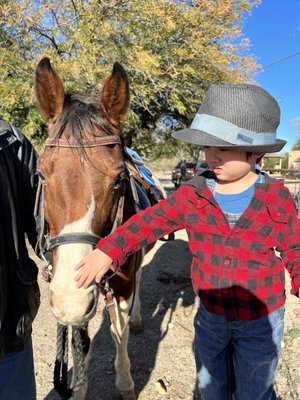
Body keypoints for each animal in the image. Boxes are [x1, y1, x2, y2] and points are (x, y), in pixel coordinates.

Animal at [34, 57, 157, 400]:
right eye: (41, 175)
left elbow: (118, 332)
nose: (71, 295)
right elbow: (82, 341)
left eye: (118, 179)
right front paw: (79, 387)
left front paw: (126, 383)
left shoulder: (121, 287)